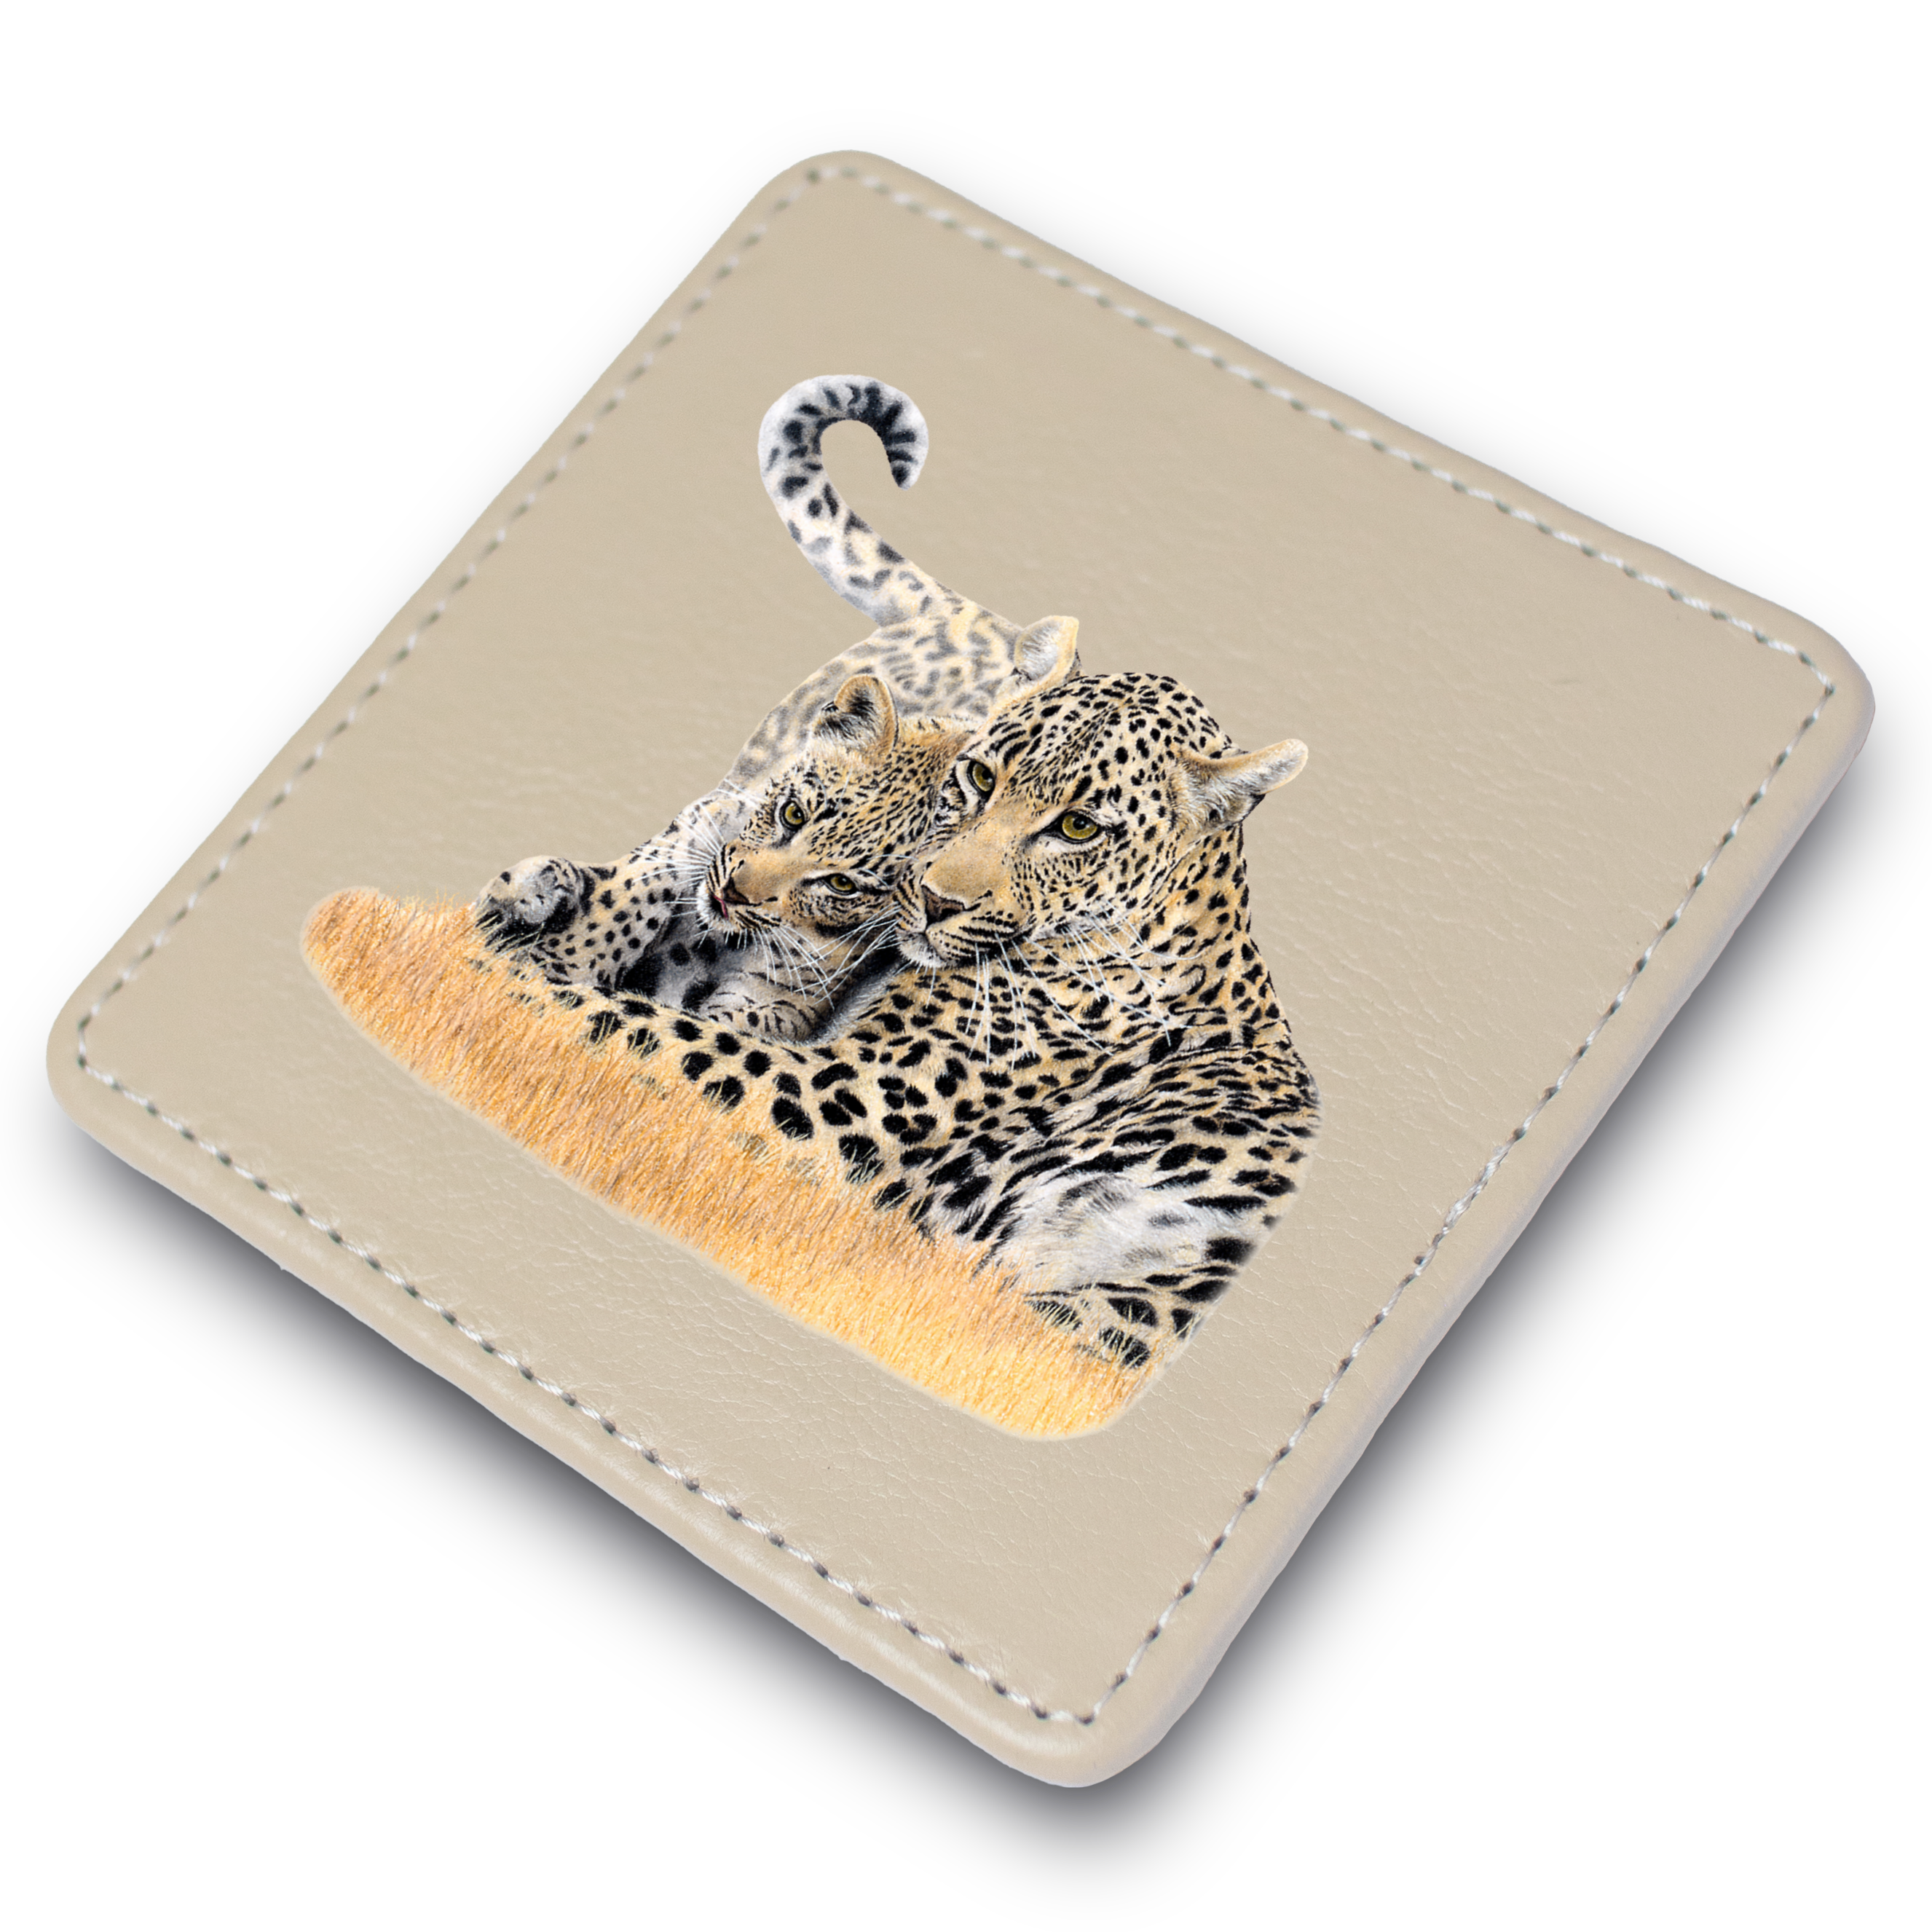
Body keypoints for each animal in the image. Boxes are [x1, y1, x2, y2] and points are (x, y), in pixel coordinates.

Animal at [475, 373, 1078, 1026]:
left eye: (842, 885)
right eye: (792, 814)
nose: (731, 894)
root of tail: (973, 612)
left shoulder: (787, 993)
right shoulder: (708, 820)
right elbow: (632, 891)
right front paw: (561, 963)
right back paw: (532, 889)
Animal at [534, 667, 1319, 1367]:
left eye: (1077, 828)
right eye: (981, 778)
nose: (936, 898)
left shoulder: (838, 1095)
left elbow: (632, 1021)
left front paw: (518, 965)